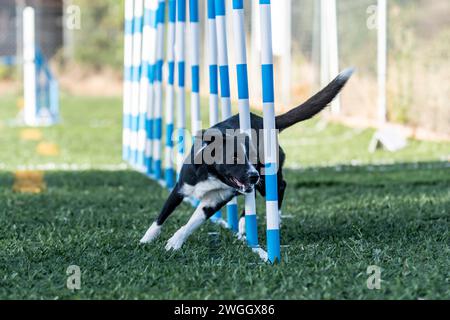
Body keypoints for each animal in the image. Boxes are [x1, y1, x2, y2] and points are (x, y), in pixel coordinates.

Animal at [139, 69, 354, 251]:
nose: (253, 175)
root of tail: (266, 120)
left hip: (267, 177)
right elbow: (161, 216)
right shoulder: (181, 187)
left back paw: (265, 220)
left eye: (253, 157)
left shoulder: (215, 201)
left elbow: (192, 223)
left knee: (280, 186)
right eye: (234, 157)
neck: (212, 175)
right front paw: (146, 239)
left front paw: (175, 241)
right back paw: (244, 225)